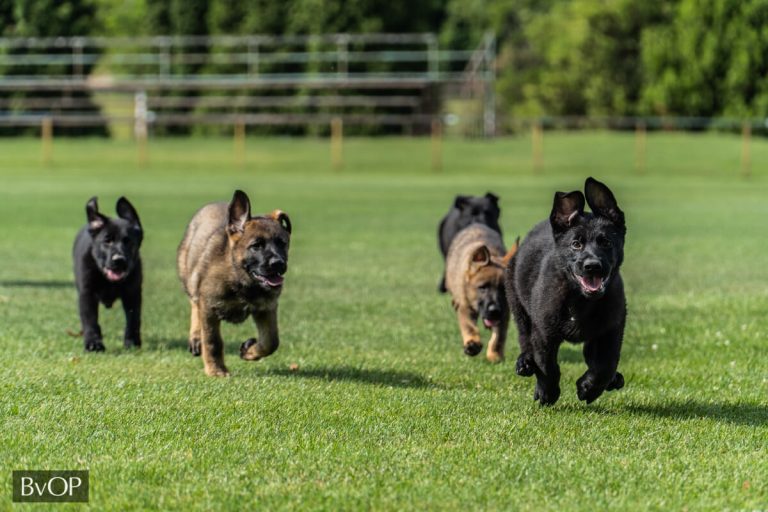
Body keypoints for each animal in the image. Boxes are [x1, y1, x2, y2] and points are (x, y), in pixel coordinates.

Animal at [73, 196, 144, 352]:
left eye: (129, 241)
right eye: (107, 241)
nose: (119, 260)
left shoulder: (133, 293)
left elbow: (133, 319)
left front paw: (132, 342)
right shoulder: (87, 293)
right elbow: (90, 320)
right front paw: (93, 343)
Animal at [444, 225, 516, 364]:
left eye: (503, 289)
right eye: (483, 287)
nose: (494, 311)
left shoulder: (504, 312)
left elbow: (499, 336)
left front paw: (495, 355)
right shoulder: (465, 307)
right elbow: (469, 327)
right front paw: (472, 344)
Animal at [508, 178, 628, 406]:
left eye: (606, 242)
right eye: (576, 244)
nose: (592, 266)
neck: (580, 301)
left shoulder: (611, 329)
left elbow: (605, 366)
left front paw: (588, 388)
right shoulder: (543, 333)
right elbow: (547, 367)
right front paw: (547, 393)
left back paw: (613, 380)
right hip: (518, 305)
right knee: (524, 338)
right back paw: (524, 363)